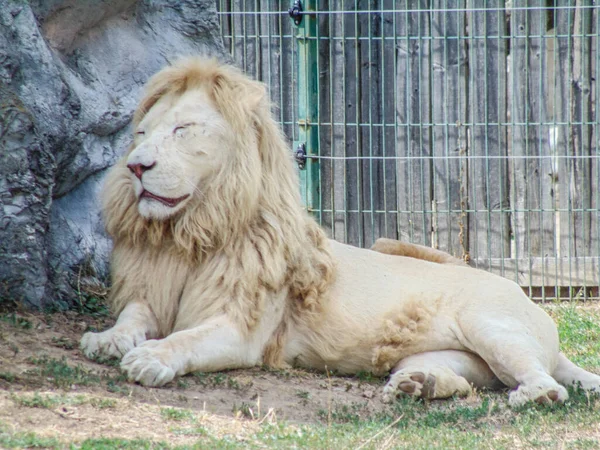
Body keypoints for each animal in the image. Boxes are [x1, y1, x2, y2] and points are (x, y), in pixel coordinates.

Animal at [81, 58, 600, 406]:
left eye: (183, 129)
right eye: (141, 135)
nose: (135, 166)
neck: (188, 236)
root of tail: (530, 301)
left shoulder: (241, 330)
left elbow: (185, 339)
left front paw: (151, 358)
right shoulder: (151, 291)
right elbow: (133, 316)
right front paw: (106, 340)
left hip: (492, 324)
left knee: (548, 382)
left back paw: (533, 395)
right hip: (446, 355)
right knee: (461, 378)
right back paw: (418, 385)